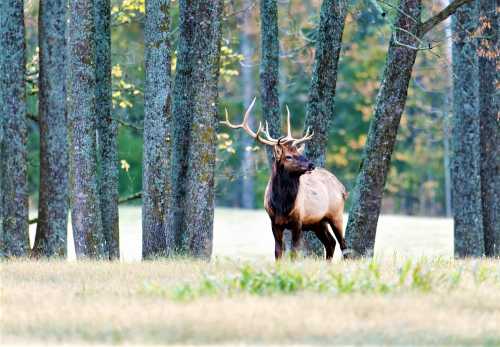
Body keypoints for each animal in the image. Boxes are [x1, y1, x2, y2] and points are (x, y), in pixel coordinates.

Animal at [223, 98, 348, 260]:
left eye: (298, 152)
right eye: (288, 156)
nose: (311, 164)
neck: (282, 205)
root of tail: (342, 188)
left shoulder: (298, 221)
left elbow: (294, 251)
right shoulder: (274, 222)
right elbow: (278, 251)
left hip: (336, 214)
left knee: (343, 244)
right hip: (318, 222)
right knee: (330, 243)